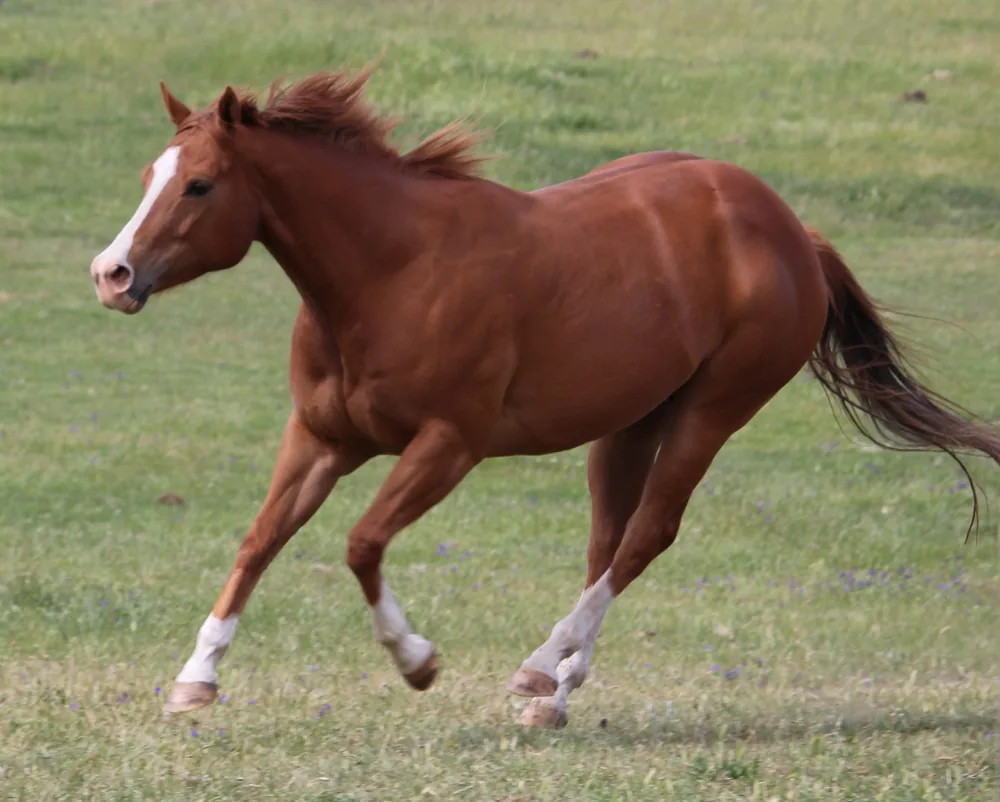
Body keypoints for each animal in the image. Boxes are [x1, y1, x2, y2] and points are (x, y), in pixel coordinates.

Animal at [88, 66, 1000, 729]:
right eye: (149, 174)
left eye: (200, 185)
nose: (112, 274)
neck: (390, 274)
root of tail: (792, 233)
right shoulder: (319, 438)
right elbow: (259, 540)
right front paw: (195, 681)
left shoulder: (448, 445)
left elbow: (360, 544)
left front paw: (417, 662)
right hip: (631, 423)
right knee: (609, 544)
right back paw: (555, 693)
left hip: (711, 413)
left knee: (646, 537)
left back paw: (537, 669)